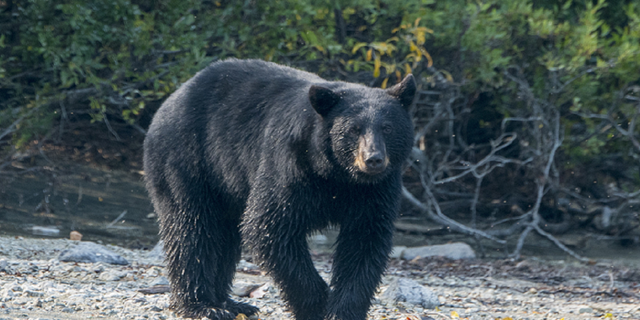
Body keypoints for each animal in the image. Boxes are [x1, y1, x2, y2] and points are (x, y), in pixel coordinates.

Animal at [143, 58, 418, 320]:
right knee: (192, 228)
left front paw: (343, 311)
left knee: (223, 235)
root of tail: (172, 98)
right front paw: (317, 304)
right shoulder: (290, 165)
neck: (337, 175)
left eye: (388, 127)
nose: (373, 159)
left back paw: (229, 303)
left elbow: (365, 240)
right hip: (187, 158)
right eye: (354, 129)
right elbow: (270, 226)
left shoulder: (376, 190)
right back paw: (202, 306)